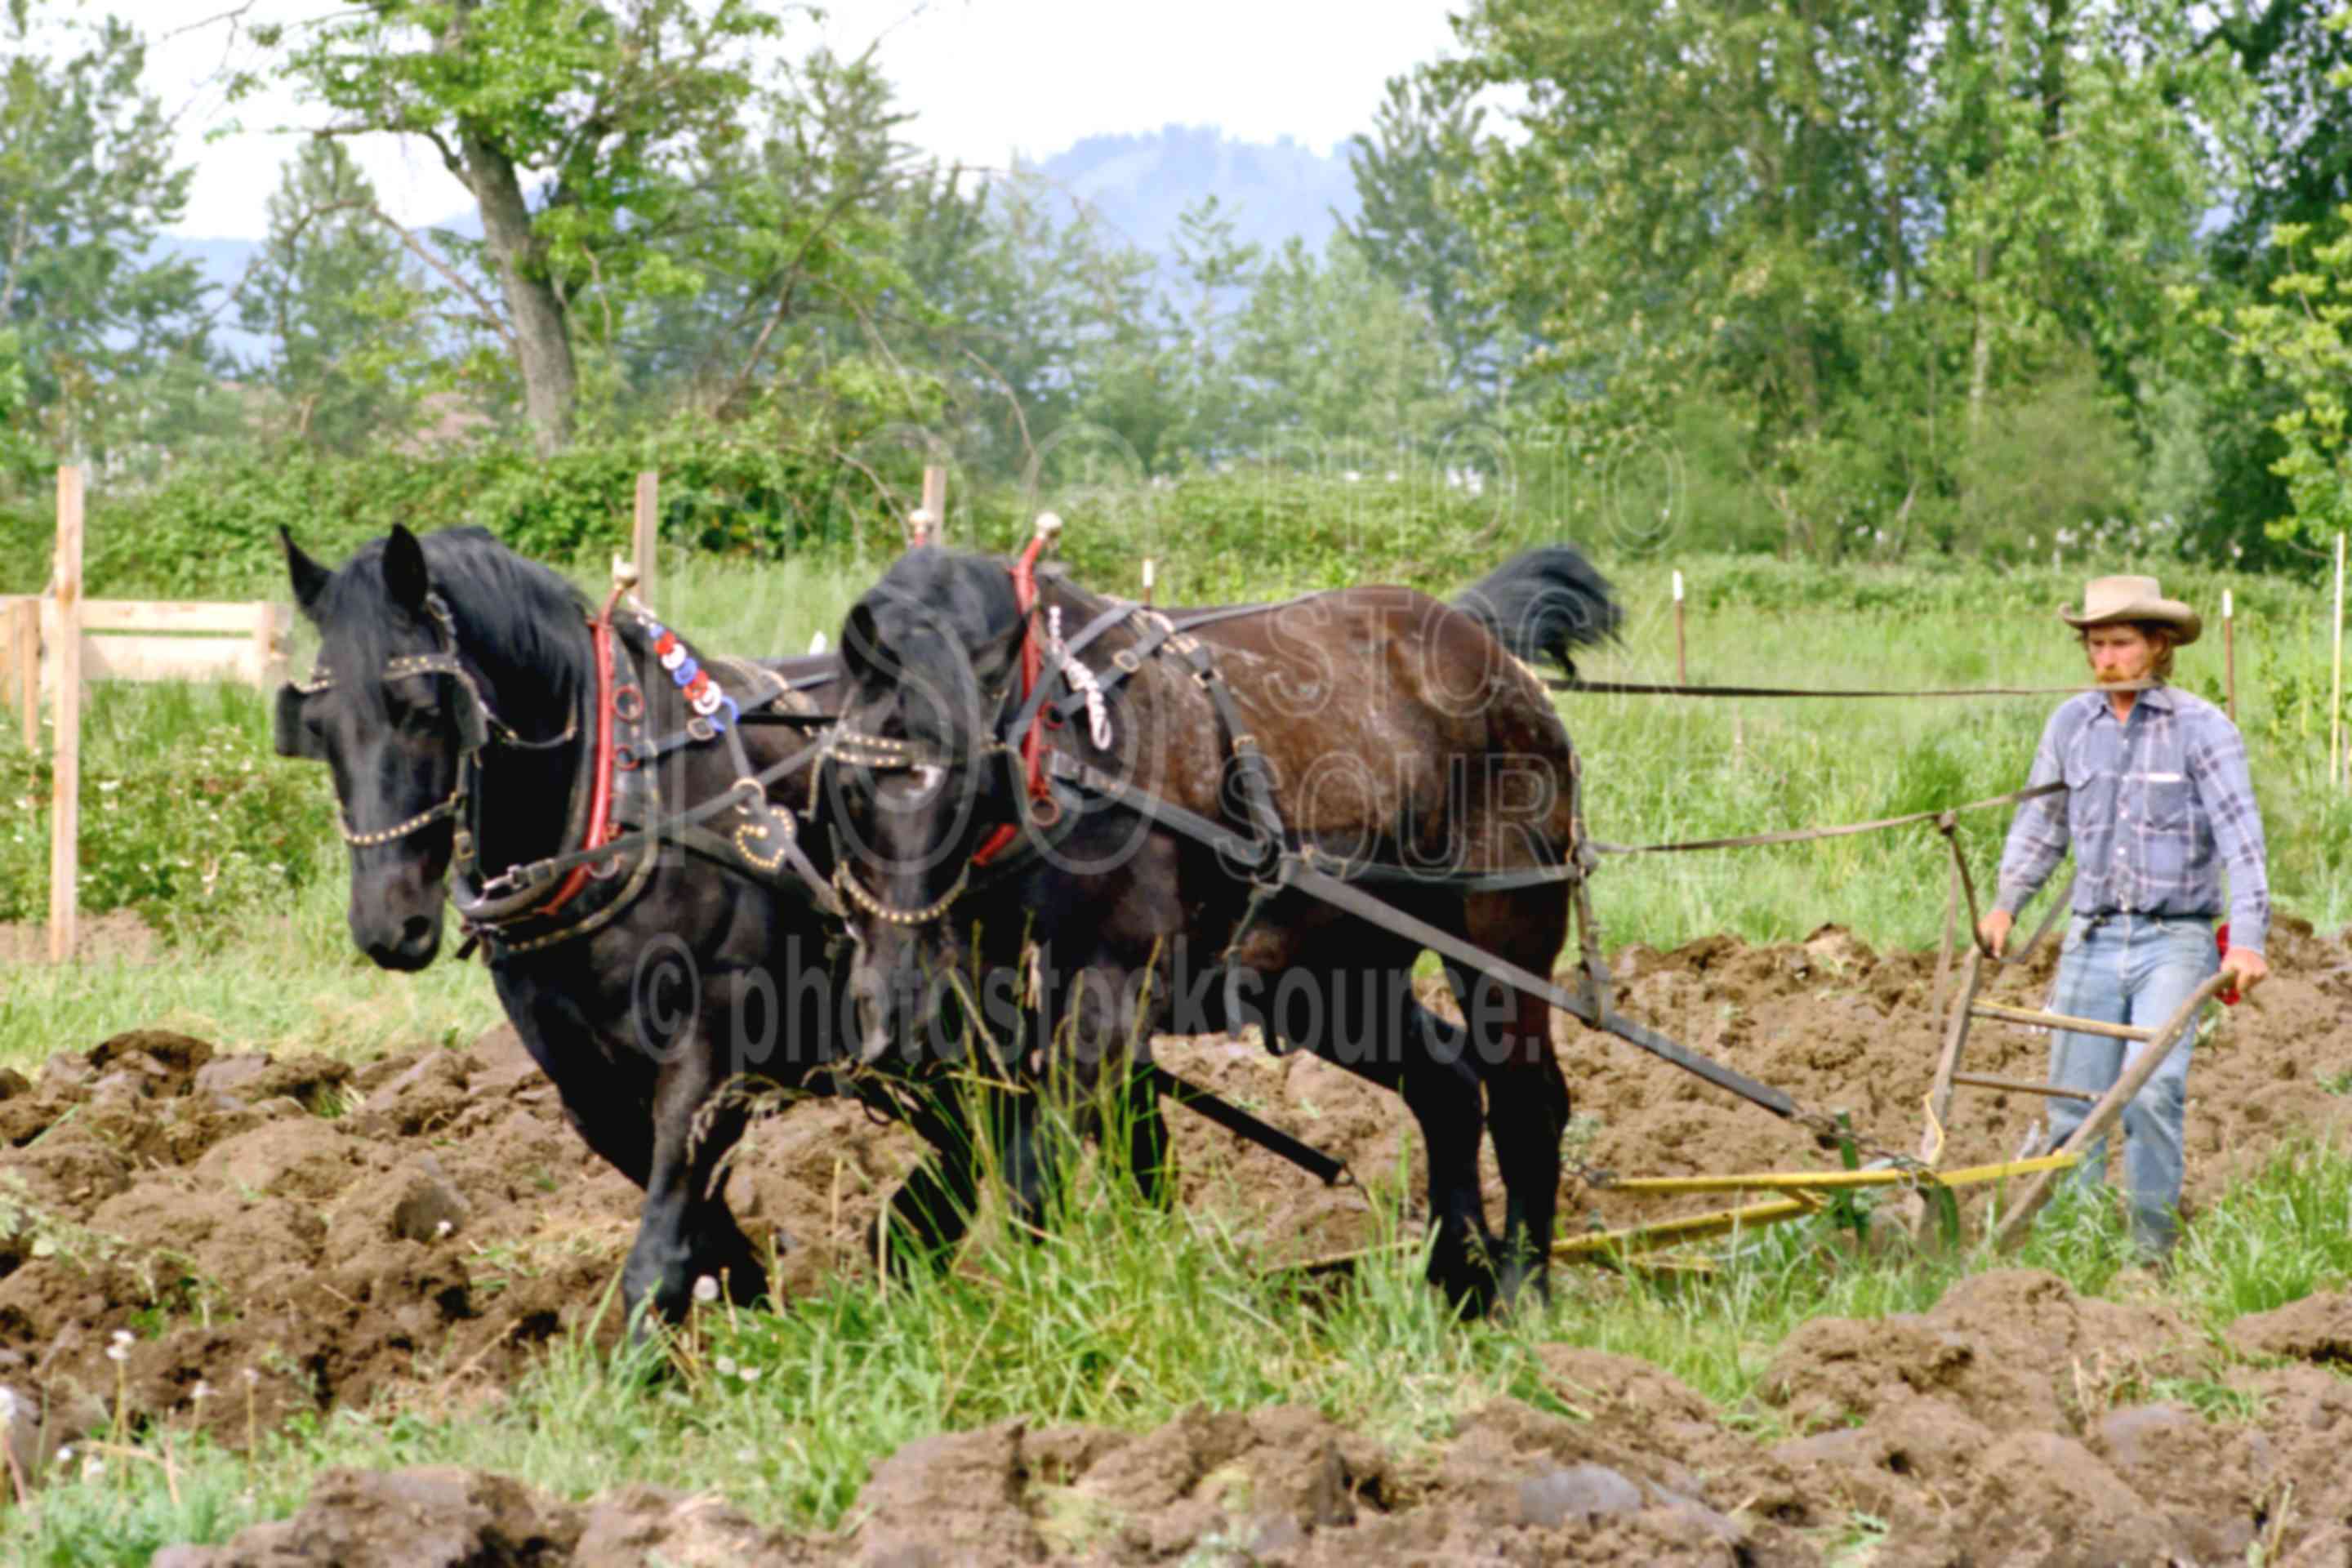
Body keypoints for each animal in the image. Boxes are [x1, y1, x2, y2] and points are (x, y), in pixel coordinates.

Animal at [272, 523, 854, 1325]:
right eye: (318, 729)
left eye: (424, 711)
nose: (388, 926)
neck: (616, 805)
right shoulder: (587, 1090)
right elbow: (709, 1242)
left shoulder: (713, 1058)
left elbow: (659, 1260)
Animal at [823, 541, 1618, 1311]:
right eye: (850, 788)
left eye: (965, 785)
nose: (890, 1002)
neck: (1066, 751)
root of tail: (1486, 647)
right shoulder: (983, 995)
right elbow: (982, 1136)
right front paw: (904, 1268)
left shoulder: (1113, 982)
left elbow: (1035, 1159)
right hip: (1334, 975)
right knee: (1447, 1084)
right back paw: (1460, 1276)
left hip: (1504, 938)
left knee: (1528, 1103)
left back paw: (1522, 1294)